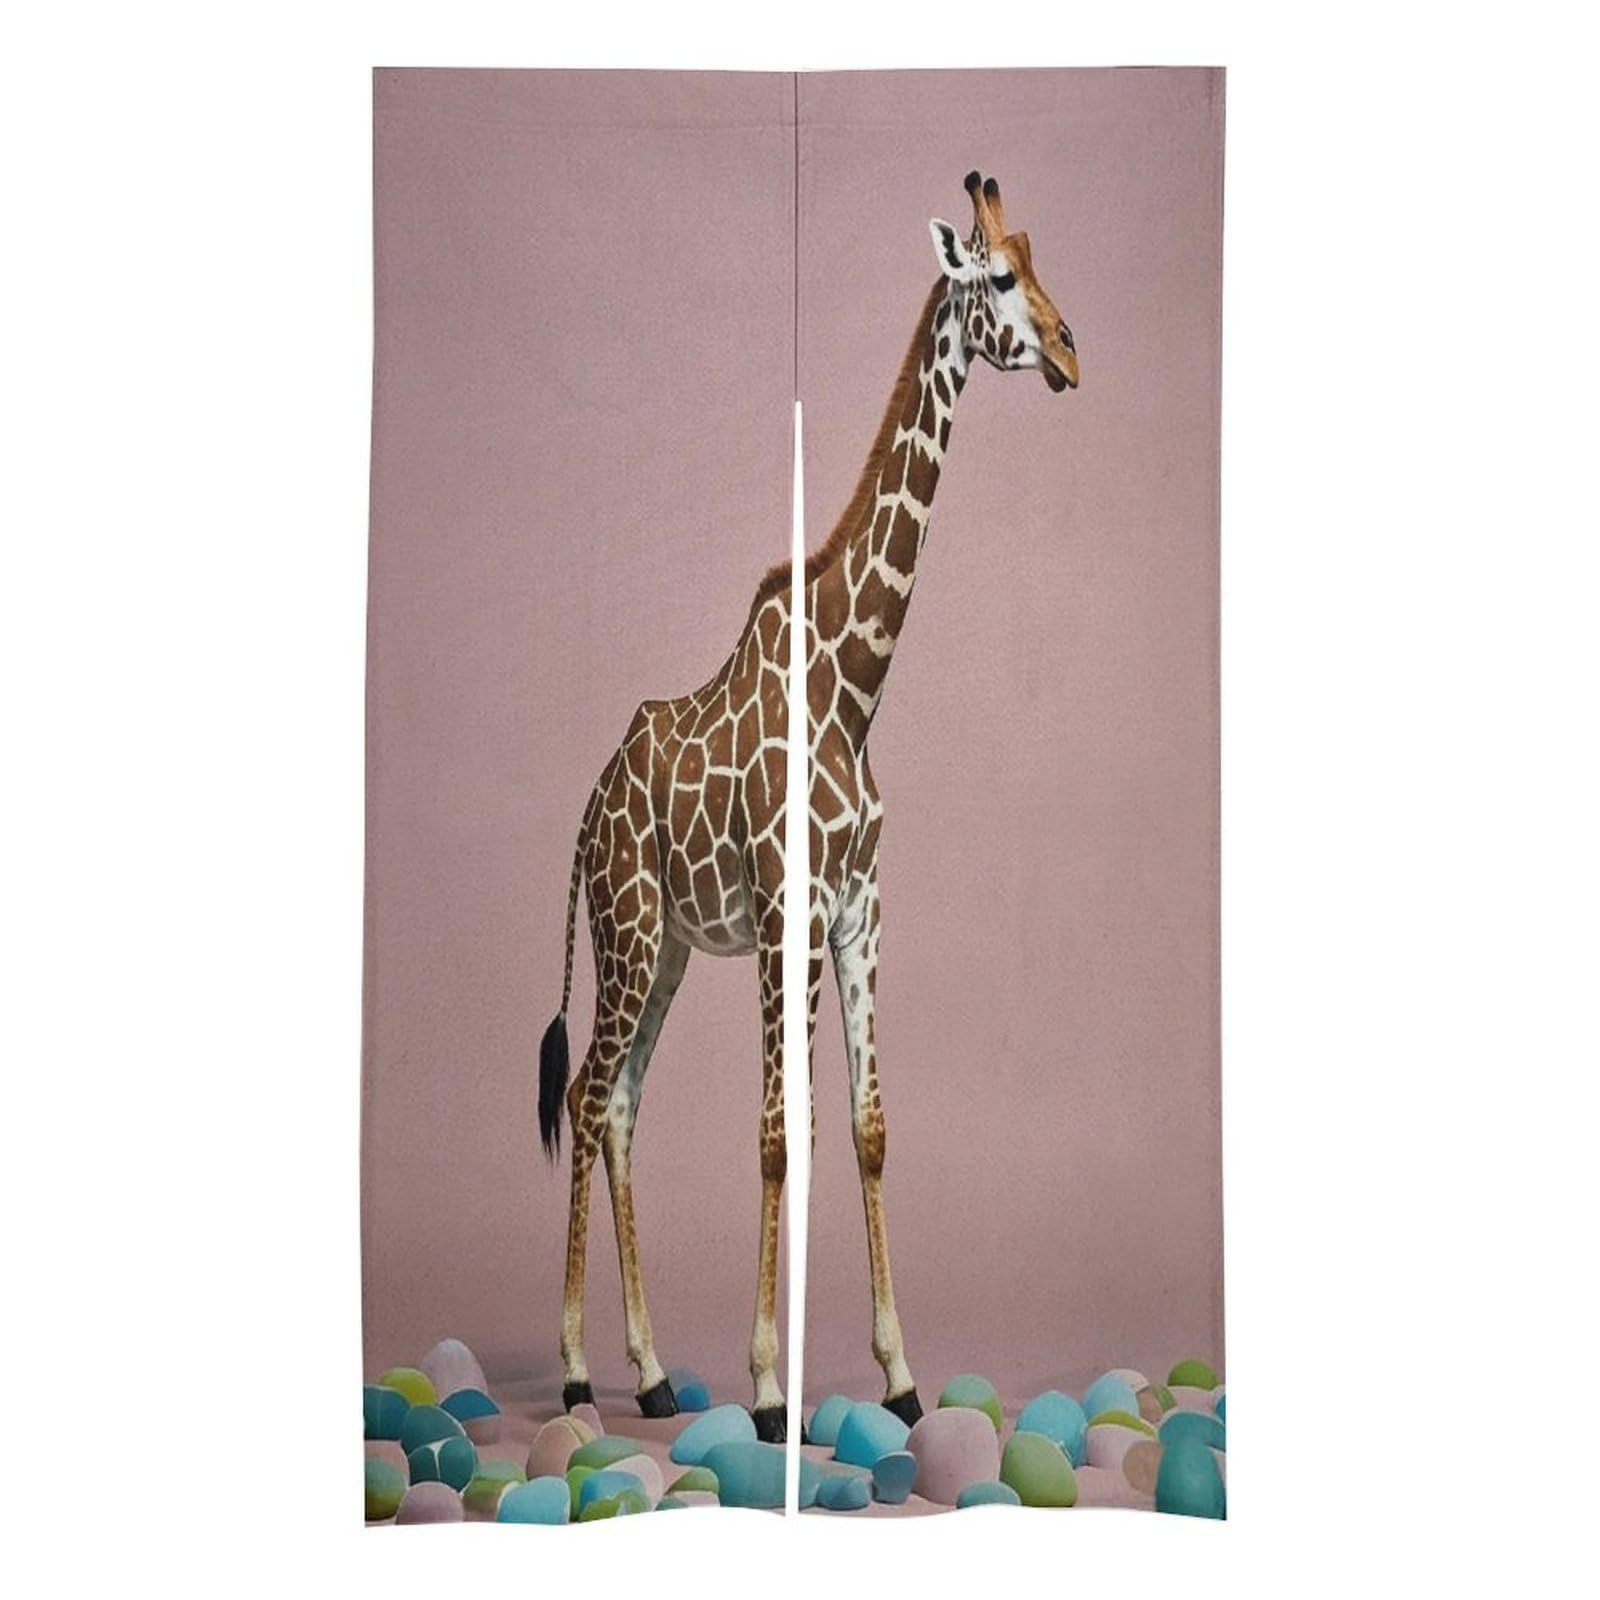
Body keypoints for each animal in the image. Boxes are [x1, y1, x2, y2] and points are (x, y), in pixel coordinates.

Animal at [537, 171, 1077, 1442]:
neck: (854, 681)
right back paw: (579, 1368)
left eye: (1043, 264)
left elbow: (866, 1130)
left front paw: (899, 1373)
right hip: (629, 930)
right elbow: (782, 1137)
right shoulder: (791, 908)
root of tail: (587, 809)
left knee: (617, 1103)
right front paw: (771, 1388)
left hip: (669, 947)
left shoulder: (861, 906)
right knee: (584, 1094)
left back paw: (651, 1369)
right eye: (996, 277)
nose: (1071, 351)